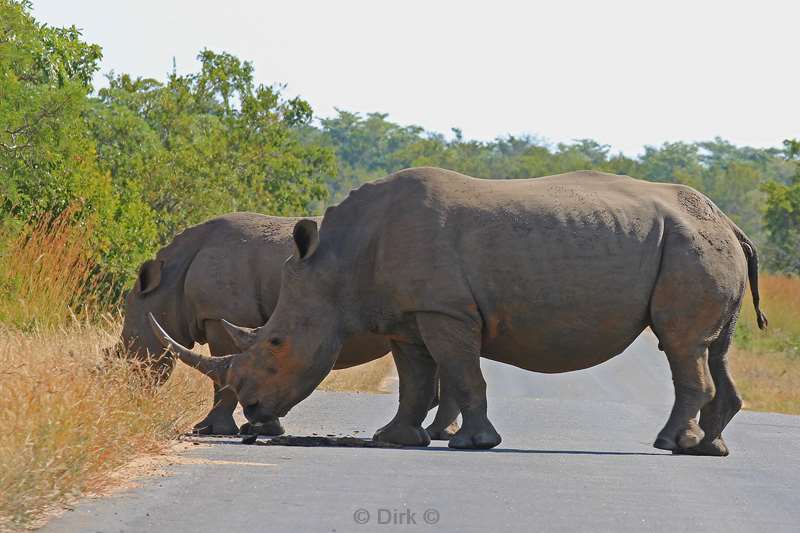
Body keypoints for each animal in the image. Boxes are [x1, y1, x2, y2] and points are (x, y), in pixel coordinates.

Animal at [113, 211, 462, 436]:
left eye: (128, 351)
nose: (128, 393)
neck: (170, 284)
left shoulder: (221, 315)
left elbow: (223, 377)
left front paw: (211, 430)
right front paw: (262, 427)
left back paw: (440, 433)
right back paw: (441, 433)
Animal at [150, 168, 768, 456]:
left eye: (275, 343)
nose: (253, 409)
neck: (336, 264)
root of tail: (731, 222)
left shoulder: (444, 311)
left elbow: (463, 375)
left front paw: (475, 445)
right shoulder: (406, 316)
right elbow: (416, 380)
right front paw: (395, 439)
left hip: (690, 245)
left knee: (681, 345)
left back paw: (672, 445)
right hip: (699, 243)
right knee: (715, 347)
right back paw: (710, 447)